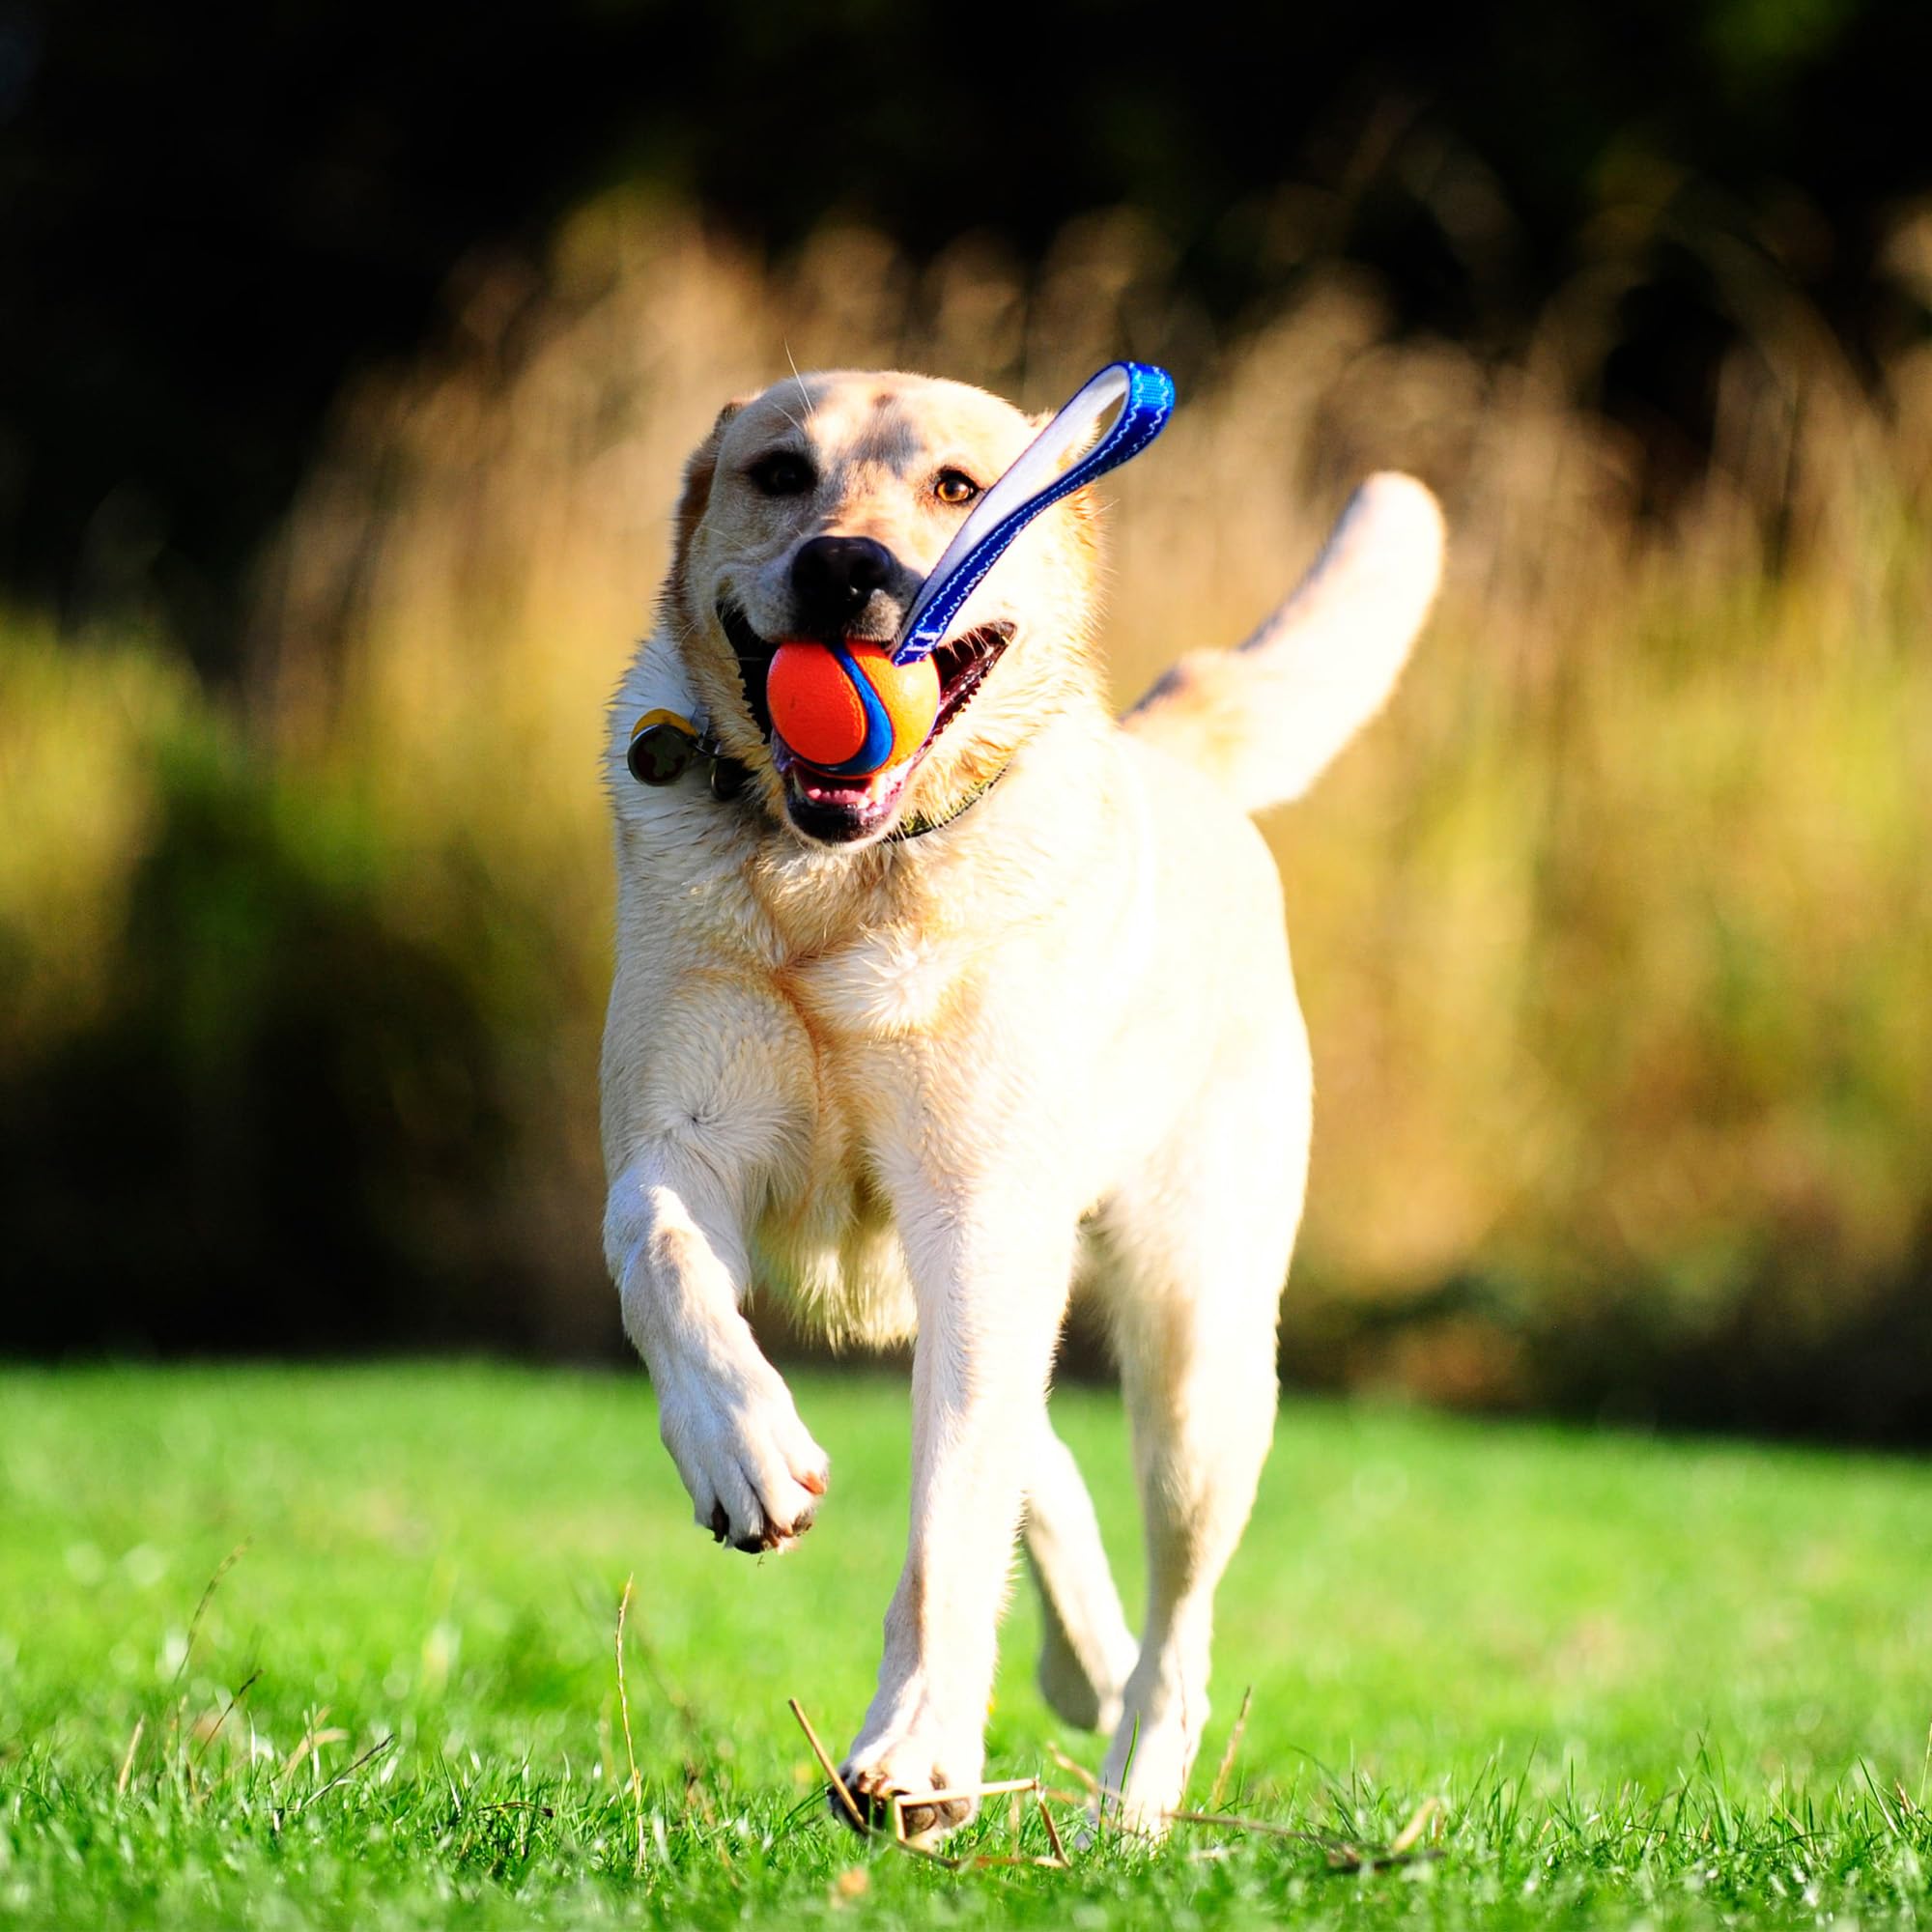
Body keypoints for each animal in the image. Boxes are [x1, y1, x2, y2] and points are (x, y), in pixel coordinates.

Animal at [595, 373, 1445, 1839]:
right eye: (779, 472)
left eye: (954, 486)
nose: (845, 568)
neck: (841, 881)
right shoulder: (680, 1142)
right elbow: (657, 1248)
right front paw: (742, 1451)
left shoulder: (979, 1214)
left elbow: (949, 1527)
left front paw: (914, 1758)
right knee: (1031, 1440)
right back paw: (1082, 1659)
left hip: (1198, 1361)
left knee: (1172, 1623)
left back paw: (1131, 1808)